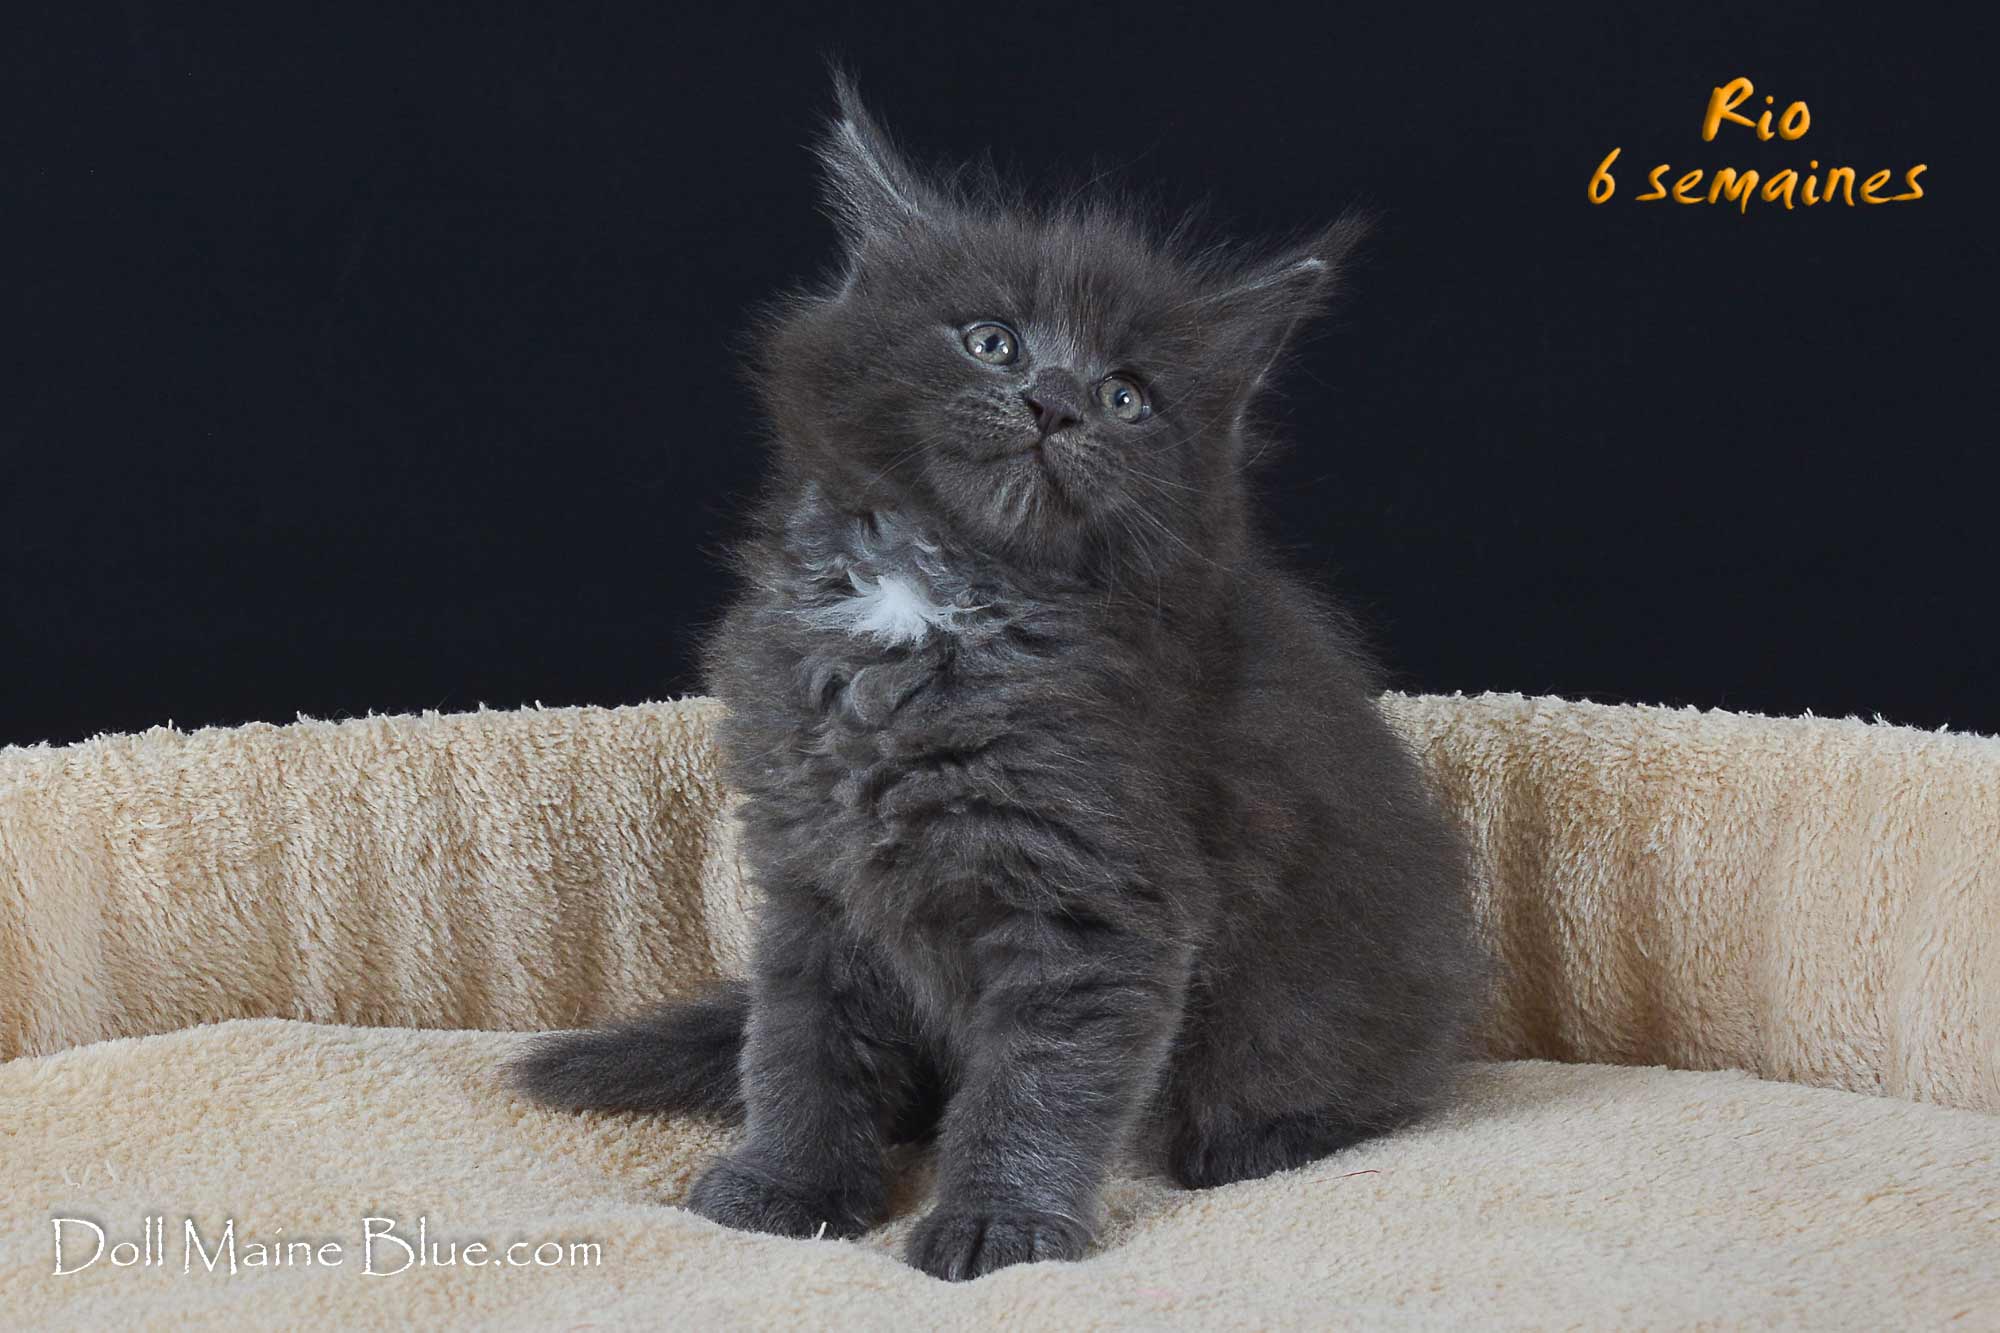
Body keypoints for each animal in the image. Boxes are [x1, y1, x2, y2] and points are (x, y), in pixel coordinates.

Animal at [512, 72, 1489, 1282]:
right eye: (993, 343)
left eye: (1126, 397)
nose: (1055, 406)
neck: (934, 595)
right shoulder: (812, 874)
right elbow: (798, 1045)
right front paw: (789, 1184)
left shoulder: (1090, 896)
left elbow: (1035, 1081)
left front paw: (998, 1225)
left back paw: (1262, 1135)